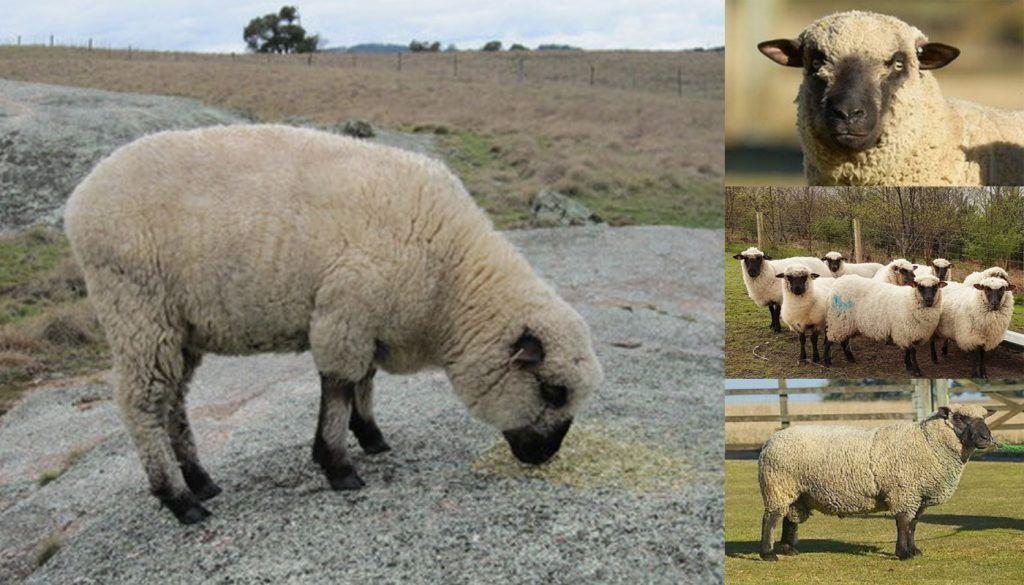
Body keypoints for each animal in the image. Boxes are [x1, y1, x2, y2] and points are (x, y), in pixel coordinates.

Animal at [64, 125, 604, 524]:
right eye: (553, 390)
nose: (546, 457)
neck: (450, 282)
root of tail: (80, 199)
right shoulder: (345, 311)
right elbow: (339, 388)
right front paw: (338, 466)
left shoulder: (368, 319)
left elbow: (364, 382)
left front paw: (371, 437)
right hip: (136, 309)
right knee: (142, 404)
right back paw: (180, 500)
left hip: (178, 329)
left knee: (173, 401)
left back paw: (201, 479)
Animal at [758, 404, 995, 561]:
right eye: (960, 417)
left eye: (985, 417)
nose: (986, 438)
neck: (927, 442)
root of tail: (770, 441)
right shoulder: (903, 491)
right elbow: (903, 522)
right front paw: (903, 554)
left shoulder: (916, 495)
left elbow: (913, 524)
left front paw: (914, 551)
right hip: (778, 485)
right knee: (770, 518)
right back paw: (768, 554)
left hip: (797, 492)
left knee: (789, 518)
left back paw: (788, 549)